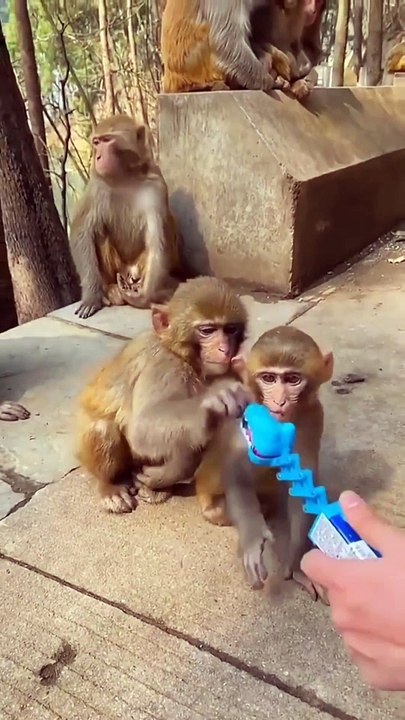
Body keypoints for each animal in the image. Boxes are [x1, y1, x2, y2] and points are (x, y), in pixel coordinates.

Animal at [69, 114, 182, 319]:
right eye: (96, 142)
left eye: (107, 140)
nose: (97, 157)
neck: (125, 176)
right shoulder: (97, 186)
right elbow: (82, 231)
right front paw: (91, 296)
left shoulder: (156, 186)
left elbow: (157, 240)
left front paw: (146, 297)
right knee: (99, 232)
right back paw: (110, 289)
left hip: (137, 268)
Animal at [76, 276, 252, 513]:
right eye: (207, 330)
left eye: (230, 330)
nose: (224, 349)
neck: (185, 358)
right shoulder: (164, 366)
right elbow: (142, 426)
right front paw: (210, 402)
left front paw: (166, 476)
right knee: (103, 428)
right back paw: (109, 485)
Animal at [194, 326, 333, 603]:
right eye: (268, 378)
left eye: (292, 379)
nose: (279, 402)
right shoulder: (246, 413)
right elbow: (237, 469)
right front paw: (252, 539)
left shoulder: (314, 416)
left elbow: (302, 480)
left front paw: (299, 562)